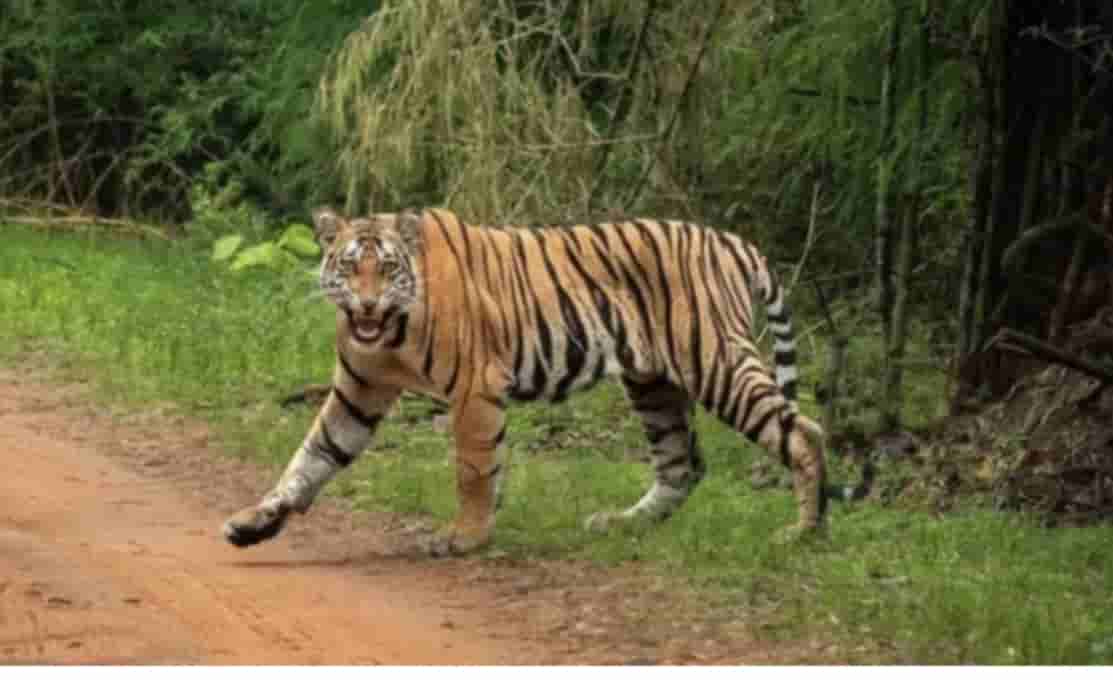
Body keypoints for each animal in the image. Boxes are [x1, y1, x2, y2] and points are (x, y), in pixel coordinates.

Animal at [222, 207, 870, 556]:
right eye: (347, 265)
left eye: (384, 268)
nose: (365, 304)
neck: (389, 334)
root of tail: (733, 242)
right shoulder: (358, 393)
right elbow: (310, 459)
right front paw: (254, 522)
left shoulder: (475, 387)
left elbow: (473, 468)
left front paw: (465, 538)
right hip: (653, 382)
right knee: (682, 464)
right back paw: (622, 524)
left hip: (715, 361)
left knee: (804, 432)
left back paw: (804, 531)